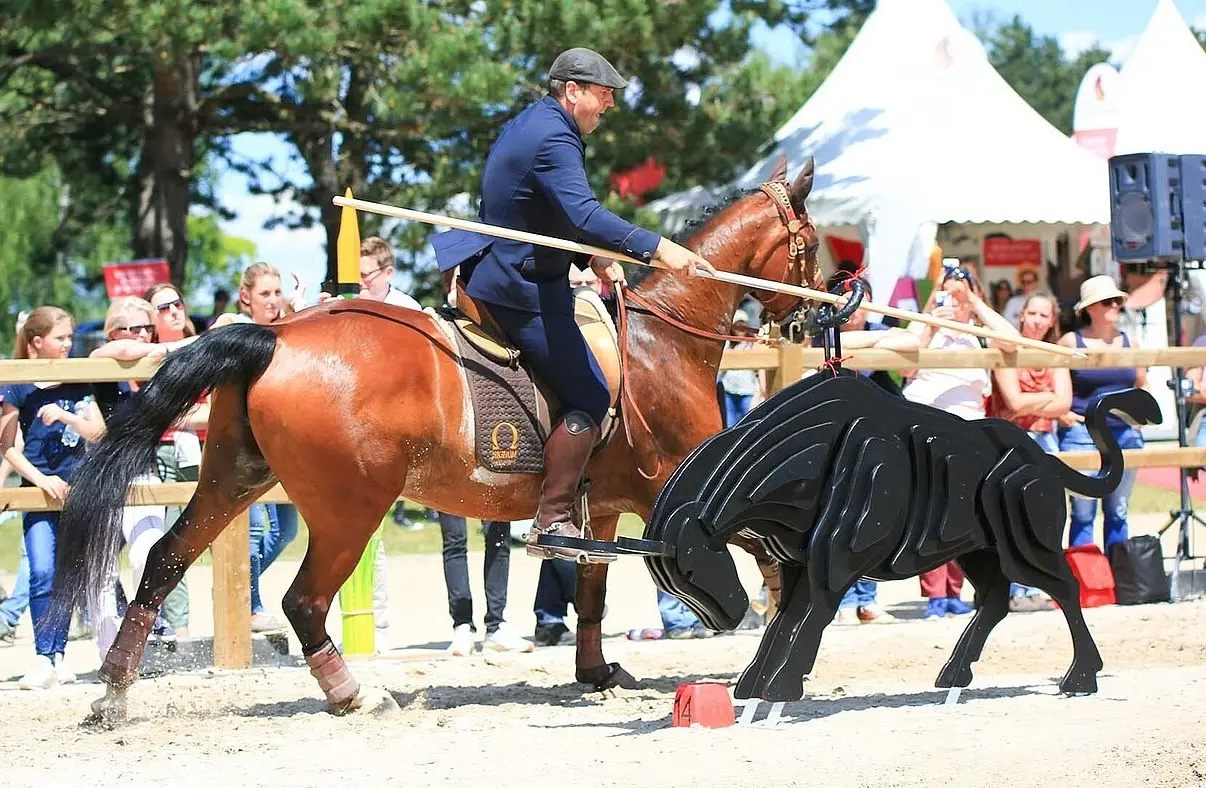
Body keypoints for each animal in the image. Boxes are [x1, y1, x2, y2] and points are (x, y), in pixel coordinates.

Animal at [51, 157, 823, 723]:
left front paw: (596, 671)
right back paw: (352, 694)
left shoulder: (602, 509)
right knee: (303, 601)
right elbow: (773, 556)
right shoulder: (687, 489)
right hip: (350, 507)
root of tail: (274, 335)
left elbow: (592, 591)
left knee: (164, 562)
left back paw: (113, 694)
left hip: (235, 477)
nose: (823, 309)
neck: (662, 342)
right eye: (812, 245)